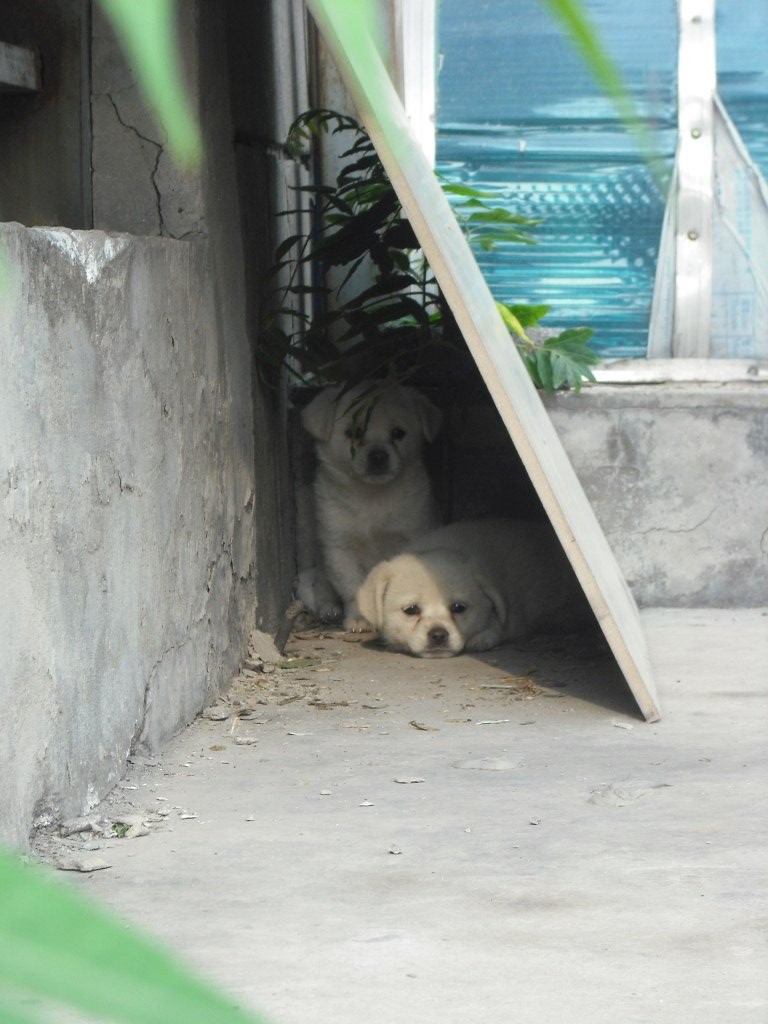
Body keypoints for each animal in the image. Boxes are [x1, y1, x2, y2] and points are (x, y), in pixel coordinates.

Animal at [301, 380, 444, 626]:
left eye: (398, 433)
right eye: (354, 433)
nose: (378, 455)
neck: (372, 497)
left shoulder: (413, 534)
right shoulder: (339, 547)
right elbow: (352, 587)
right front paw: (359, 617)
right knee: (321, 588)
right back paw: (329, 610)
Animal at [358, 516, 593, 659]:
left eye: (458, 608)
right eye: (411, 610)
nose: (438, 635)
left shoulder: (514, 614)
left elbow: (498, 624)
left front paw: (483, 636)